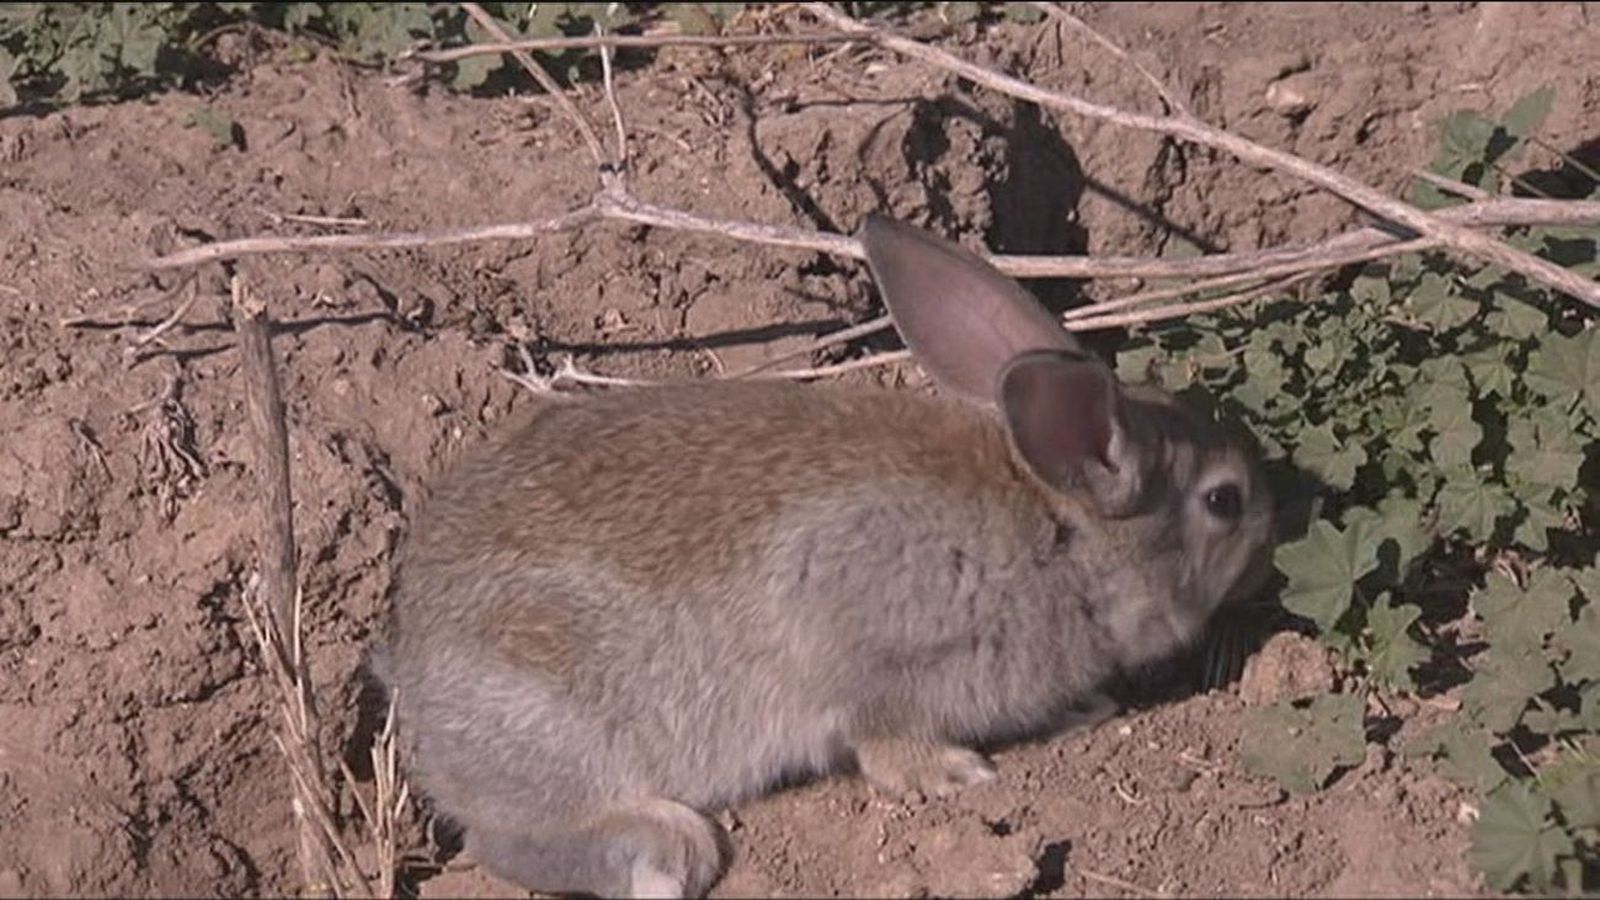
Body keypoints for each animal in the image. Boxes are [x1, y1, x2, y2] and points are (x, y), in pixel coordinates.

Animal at [371, 214, 1276, 899]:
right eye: (1224, 502)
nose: (1273, 540)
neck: (1061, 534)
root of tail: (417, 685)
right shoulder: (874, 649)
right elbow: (881, 735)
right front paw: (953, 774)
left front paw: (1082, 709)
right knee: (510, 839)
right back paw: (665, 854)